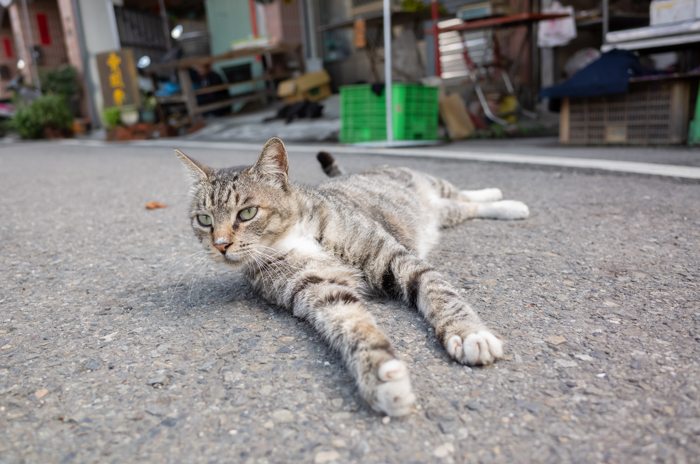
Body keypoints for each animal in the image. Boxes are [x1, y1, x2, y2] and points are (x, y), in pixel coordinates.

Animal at [176, 138, 532, 416]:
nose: (220, 245)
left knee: (464, 195)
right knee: (462, 207)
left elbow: (439, 293)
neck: (293, 236)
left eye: (247, 213)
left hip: (427, 184)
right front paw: (381, 378)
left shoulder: (395, 258)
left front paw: (469, 334)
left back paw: (506, 200)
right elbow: (354, 328)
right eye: (204, 220)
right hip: (443, 213)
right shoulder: (321, 293)